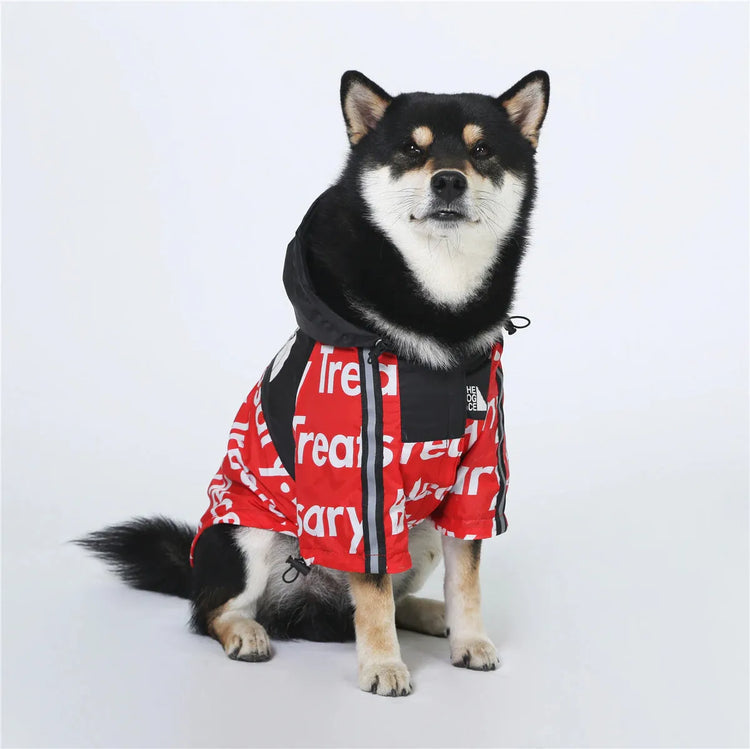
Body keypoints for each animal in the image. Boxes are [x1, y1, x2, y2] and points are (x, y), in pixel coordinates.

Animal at [78, 70, 552, 696]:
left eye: (481, 151)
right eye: (412, 149)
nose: (448, 179)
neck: (438, 322)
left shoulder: (476, 476)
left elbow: (464, 577)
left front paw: (469, 639)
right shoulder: (354, 489)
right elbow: (372, 590)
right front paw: (382, 666)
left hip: (419, 532)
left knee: (383, 598)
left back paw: (432, 616)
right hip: (244, 533)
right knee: (213, 611)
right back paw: (246, 633)